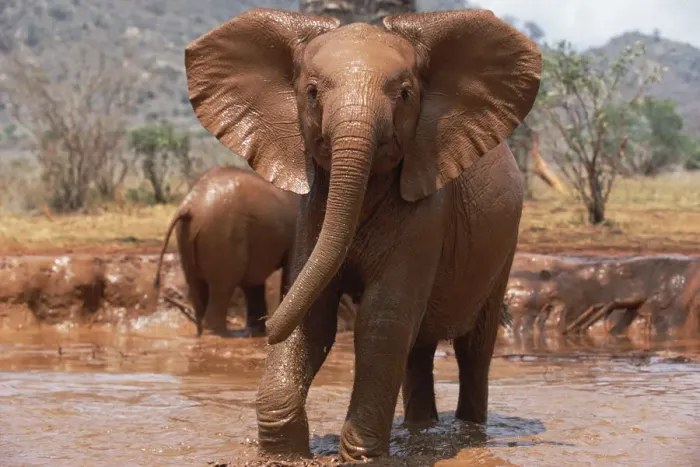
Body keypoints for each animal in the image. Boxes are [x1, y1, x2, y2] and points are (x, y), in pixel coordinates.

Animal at [153, 165, 299, 337]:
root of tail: (190, 205)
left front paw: (256, 333)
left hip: (188, 236)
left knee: (197, 287)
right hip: (222, 236)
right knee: (224, 284)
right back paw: (225, 335)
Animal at [184, 8, 541, 461]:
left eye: (405, 94)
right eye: (312, 92)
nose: (266, 326)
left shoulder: (428, 207)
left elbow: (382, 319)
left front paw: (360, 457)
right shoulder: (313, 207)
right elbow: (312, 312)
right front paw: (283, 455)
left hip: (504, 249)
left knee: (473, 349)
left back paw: (469, 433)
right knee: (419, 346)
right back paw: (420, 431)